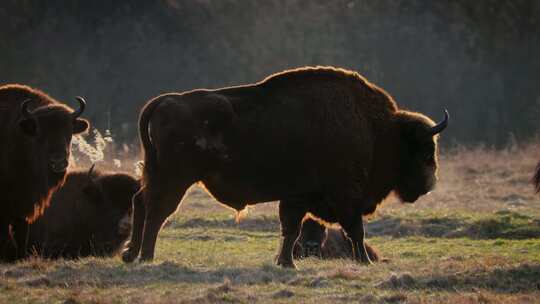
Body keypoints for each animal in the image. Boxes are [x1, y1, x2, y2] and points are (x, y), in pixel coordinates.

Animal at [0, 83, 88, 262]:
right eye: (40, 132)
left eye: (69, 131)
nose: (58, 162)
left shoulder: (25, 204)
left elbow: (22, 233)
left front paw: (21, 257)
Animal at [124, 65, 450, 268]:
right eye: (424, 149)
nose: (429, 184)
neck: (377, 130)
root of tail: (165, 101)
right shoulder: (343, 198)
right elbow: (354, 230)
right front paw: (364, 261)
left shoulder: (296, 197)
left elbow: (291, 230)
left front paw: (286, 262)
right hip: (175, 179)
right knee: (157, 212)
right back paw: (146, 257)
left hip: (157, 174)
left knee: (140, 203)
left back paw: (130, 254)